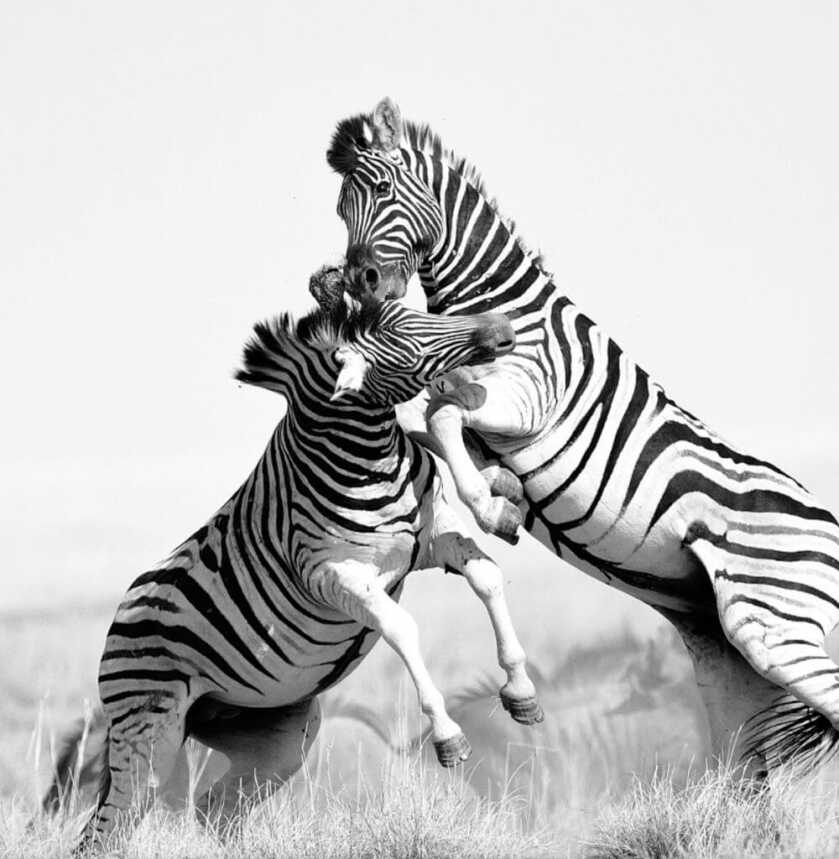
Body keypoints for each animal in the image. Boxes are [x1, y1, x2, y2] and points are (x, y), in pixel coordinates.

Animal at [64, 278, 543, 848]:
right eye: (398, 333)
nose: (503, 327)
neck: (368, 454)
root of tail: (122, 614)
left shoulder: (431, 539)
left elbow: (487, 576)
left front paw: (520, 691)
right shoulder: (333, 575)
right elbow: (402, 627)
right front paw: (448, 735)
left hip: (274, 736)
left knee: (215, 809)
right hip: (148, 736)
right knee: (107, 831)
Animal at [321, 97, 839, 777]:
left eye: (381, 190)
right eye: (339, 208)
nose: (363, 283)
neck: (501, 307)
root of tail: (829, 527)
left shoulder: (526, 399)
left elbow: (442, 420)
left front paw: (493, 509)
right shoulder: (461, 399)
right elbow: (432, 422)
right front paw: (504, 493)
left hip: (777, 631)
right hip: (736, 663)